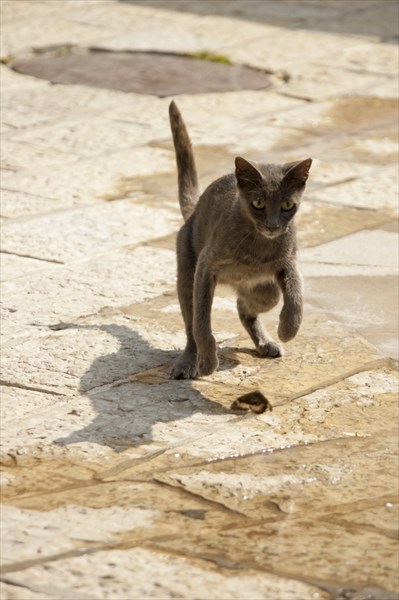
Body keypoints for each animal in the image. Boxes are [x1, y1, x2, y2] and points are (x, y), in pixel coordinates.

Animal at [169, 99, 312, 380]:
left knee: (244, 305)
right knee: (191, 327)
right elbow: (201, 323)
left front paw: (287, 329)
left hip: (266, 289)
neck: (257, 248)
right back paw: (188, 362)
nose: (272, 226)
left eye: (287, 205)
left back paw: (267, 342)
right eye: (258, 203)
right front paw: (207, 362)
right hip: (187, 273)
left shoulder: (288, 262)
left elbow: (296, 295)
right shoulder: (205, 267)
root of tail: (194, 211)